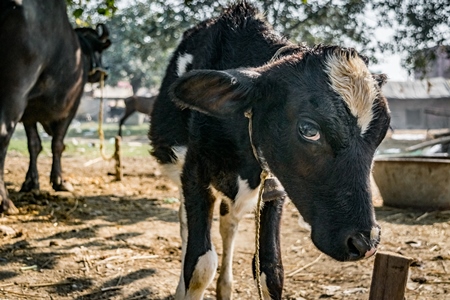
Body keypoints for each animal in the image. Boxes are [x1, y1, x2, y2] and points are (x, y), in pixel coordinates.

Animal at [0, 1, 111, 214]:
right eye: (99, 51)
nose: (102, 73)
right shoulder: (70, 108)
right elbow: (58, 144)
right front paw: (60, 181)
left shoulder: (29, 113)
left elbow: (34, 145)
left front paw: (31, 182)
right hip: (13, 93)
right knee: (2, 136)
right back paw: (5, 202)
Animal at [150, 2, 390, 300]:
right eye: (308, 129)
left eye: (383, 131)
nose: (364, 242)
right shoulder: (194, 172)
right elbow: (199, 265)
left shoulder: (275, 187)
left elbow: (271, 271)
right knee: (187, 227)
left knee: (229, 223)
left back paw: (225, 288)